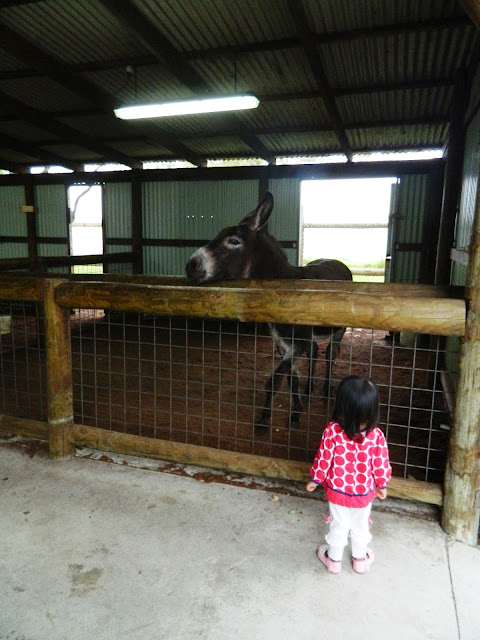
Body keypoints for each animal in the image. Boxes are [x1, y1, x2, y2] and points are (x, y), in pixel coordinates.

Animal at [185, 191, 352, 433]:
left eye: (233, 241)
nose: (190, 266)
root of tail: (339, 263)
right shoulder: (282, 344)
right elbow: (291, 379)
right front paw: (295, 411)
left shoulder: (296, 345)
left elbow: (274, 380)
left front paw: (265, 419)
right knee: (314, 352)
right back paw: (309, 390)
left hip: (339, 328)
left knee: (330, 353)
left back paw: (325, 390)